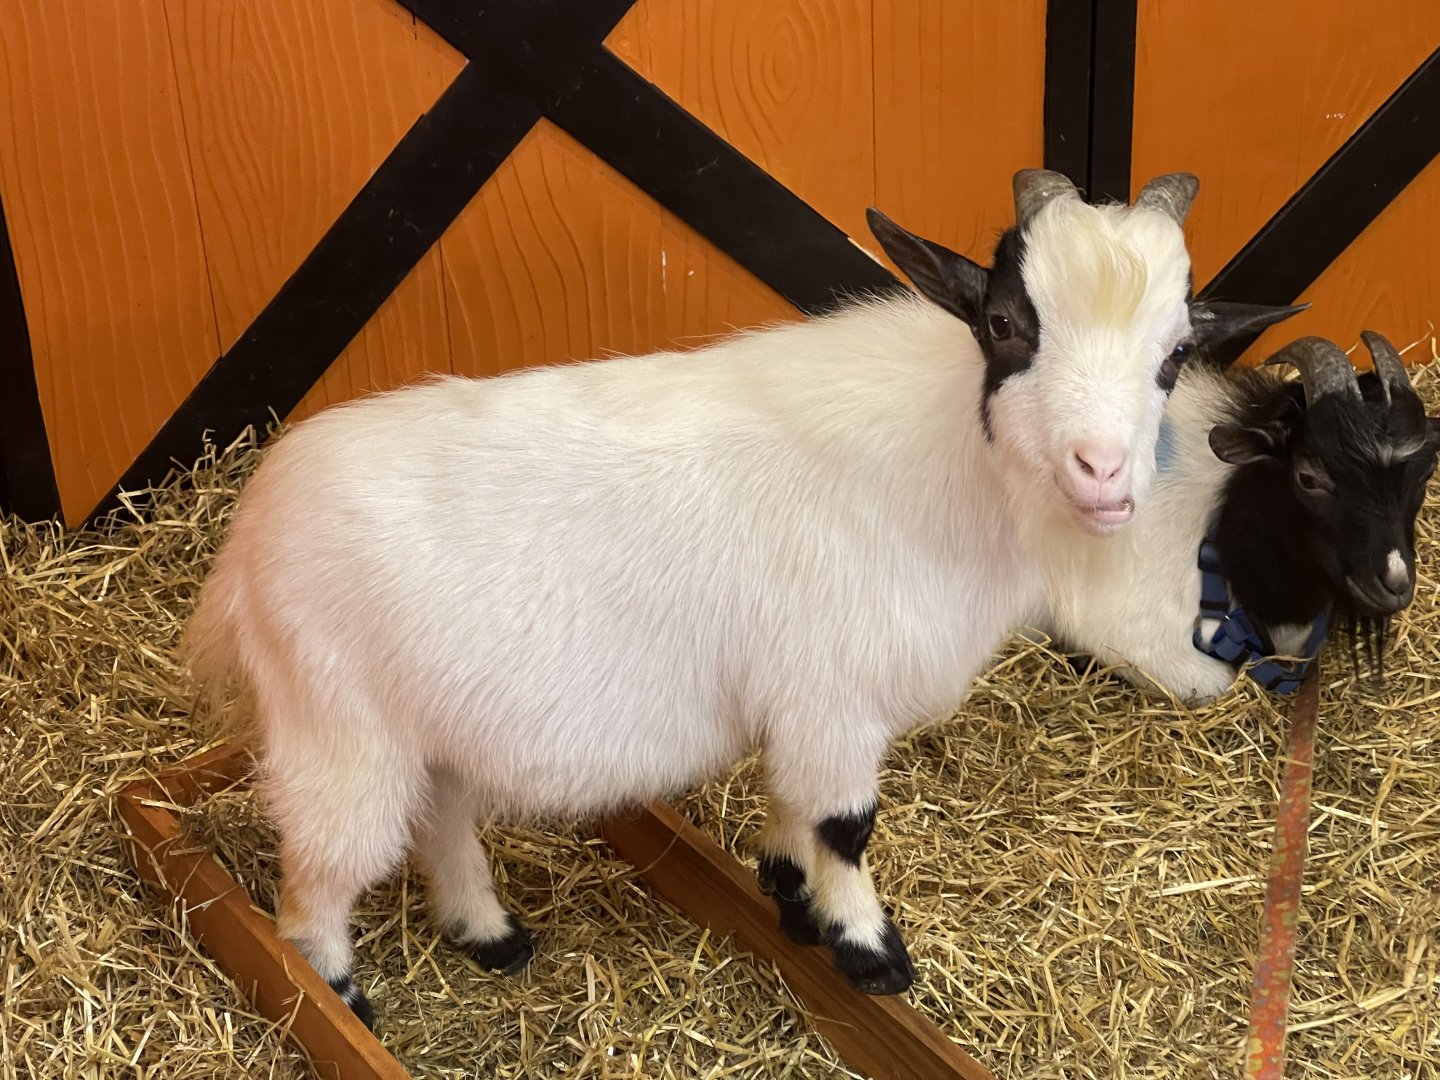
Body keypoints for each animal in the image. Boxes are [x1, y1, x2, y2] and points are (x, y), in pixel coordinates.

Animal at [184, 168, 1291, 1023]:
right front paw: (872, 953)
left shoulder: (801, 708)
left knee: (441, 819)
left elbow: (795, 813)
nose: (1104, 474)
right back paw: (339, 997)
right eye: (1005, 321)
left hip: (430, 727)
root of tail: (244, 538)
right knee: (316, 882)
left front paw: (792, 901)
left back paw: (489, 934)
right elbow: (845, 824)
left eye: (1175, 353)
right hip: (337, 731)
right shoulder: (832, 698)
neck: (937, 465)